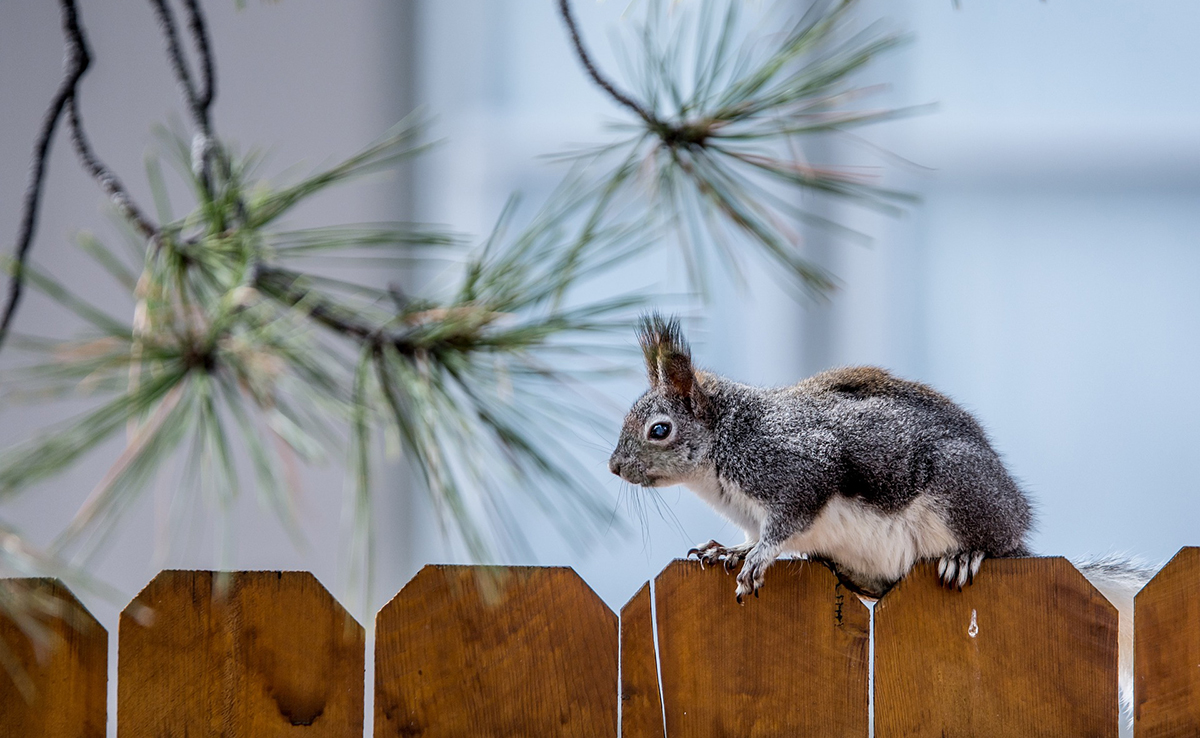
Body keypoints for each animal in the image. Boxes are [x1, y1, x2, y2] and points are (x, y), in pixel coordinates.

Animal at [609, 314, 1152, 715]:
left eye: (660, 430)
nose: (614, 467)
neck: (726, 443)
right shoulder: (750, 509)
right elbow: (752, 533)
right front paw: (730, 549)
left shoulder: (798, 470)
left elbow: (786, 524)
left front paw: (758, 559)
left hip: (960, 492)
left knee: (990, 543)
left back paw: (967, 555)